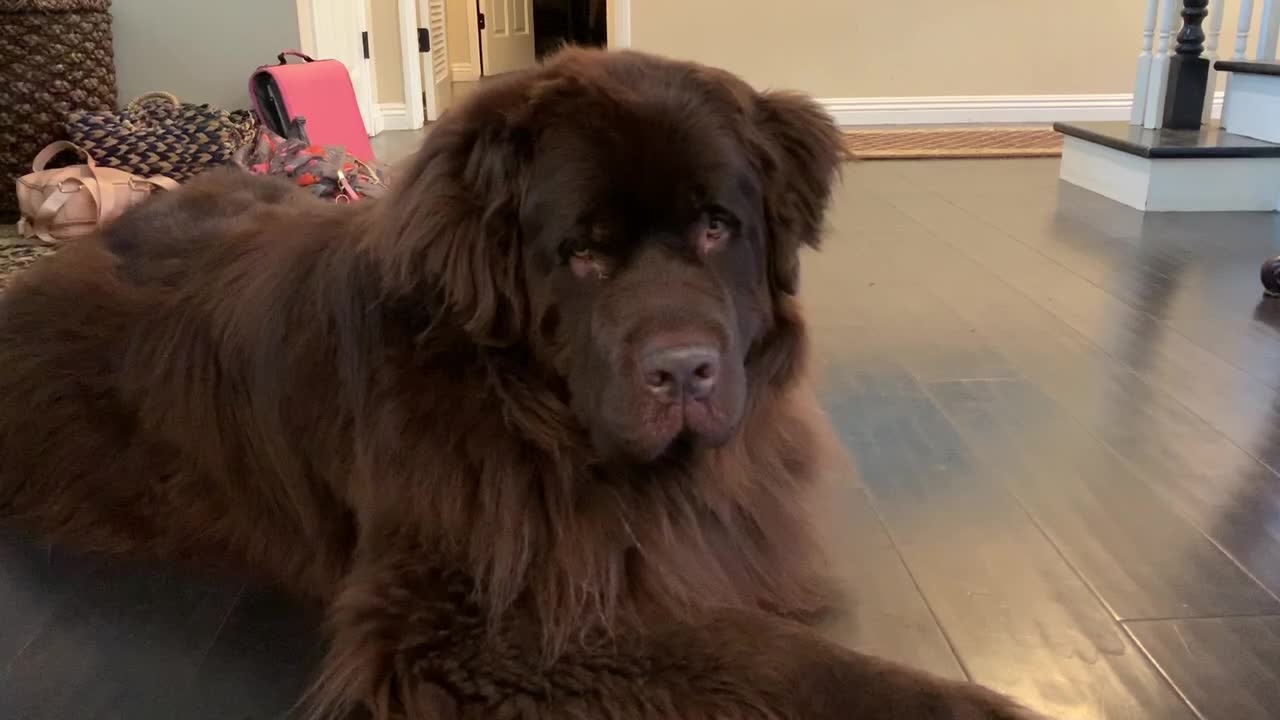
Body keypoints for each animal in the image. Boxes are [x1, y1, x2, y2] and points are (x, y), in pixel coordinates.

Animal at [0, 47, 1039, 712]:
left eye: (716, 226)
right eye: (581, 252)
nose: (684, 369)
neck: (536, 416)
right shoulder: (484, 623)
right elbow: (768, 658)